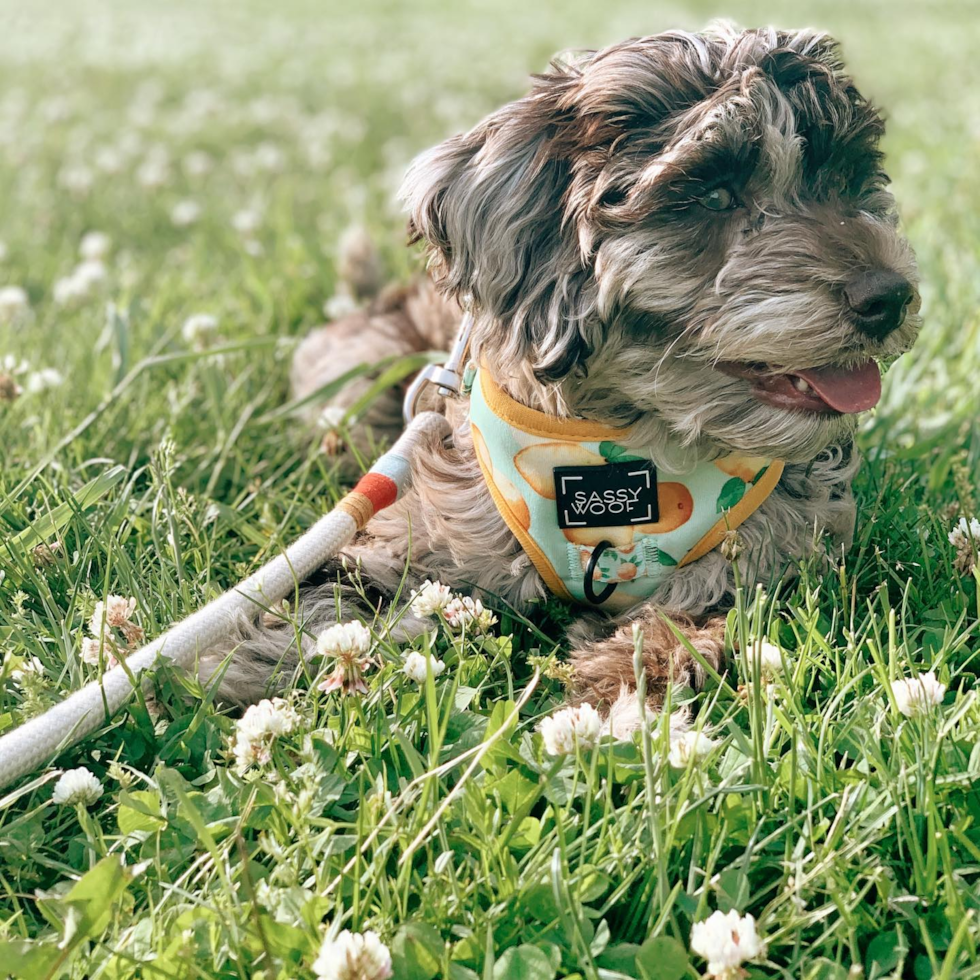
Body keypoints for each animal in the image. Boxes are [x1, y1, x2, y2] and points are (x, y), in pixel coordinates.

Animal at [203, 24, 924, 728]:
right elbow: (335, 601)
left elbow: (694, 619)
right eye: (714, 194)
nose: (890, 295)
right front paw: (236, 668)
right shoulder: (420, 537)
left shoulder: (769, 558)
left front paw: (618, 692)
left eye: (848, 179)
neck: (629, 444)